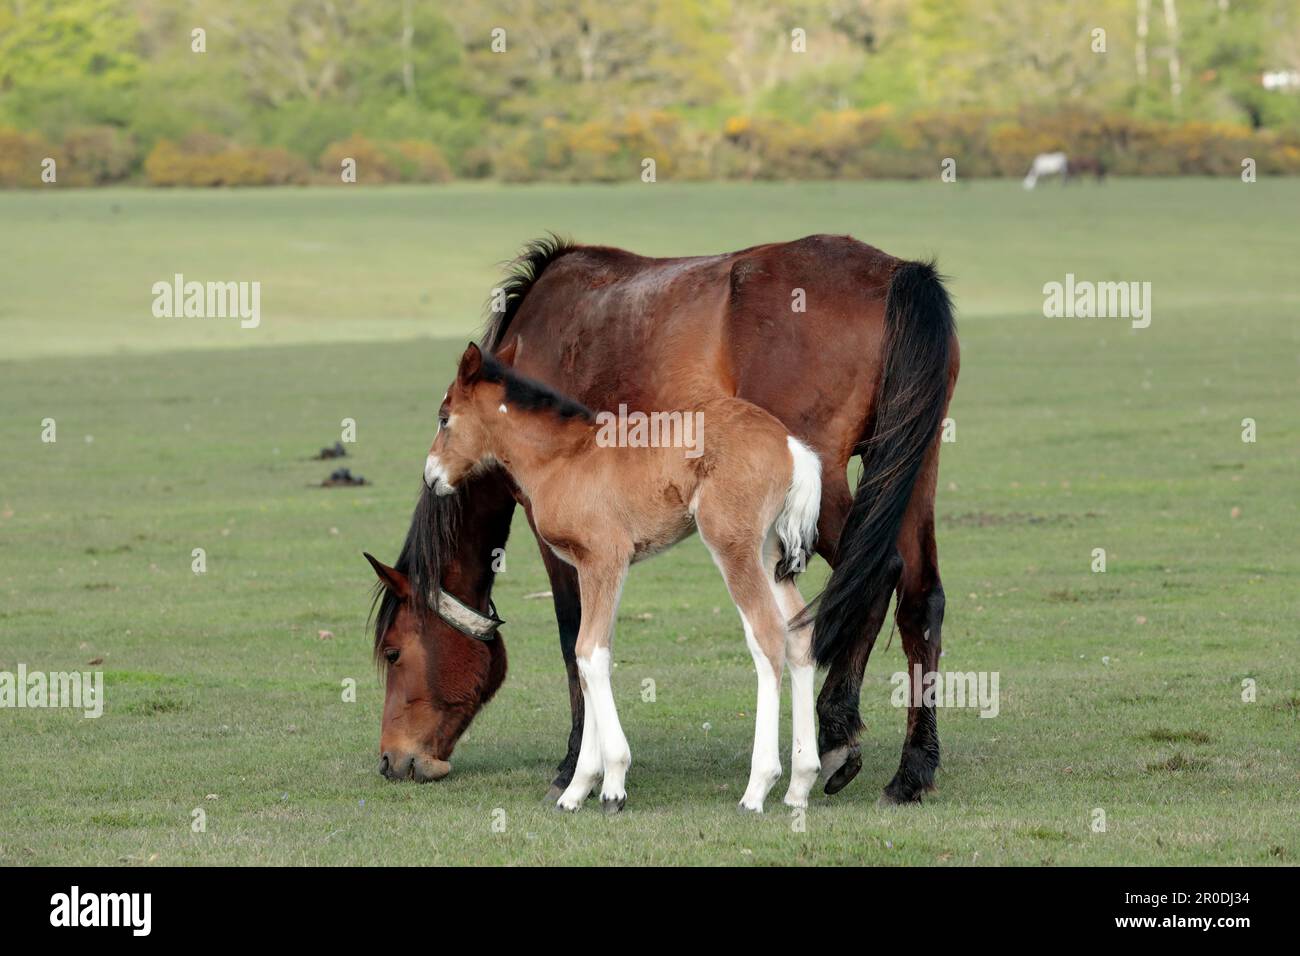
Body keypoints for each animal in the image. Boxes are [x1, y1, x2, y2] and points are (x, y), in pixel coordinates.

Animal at [414, 341, 823, 812]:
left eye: (444, 417)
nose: (431, 476)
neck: (562, 458)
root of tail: (791, 445)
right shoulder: (593, 569)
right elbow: (593, 653)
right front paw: (578, 789)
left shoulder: (603, 560)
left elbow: (588, 652)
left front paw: (610, 784)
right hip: (770, 551)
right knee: (799, 631)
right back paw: (800, 784)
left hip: (732, 545)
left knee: (767, 634)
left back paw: (758, 787)